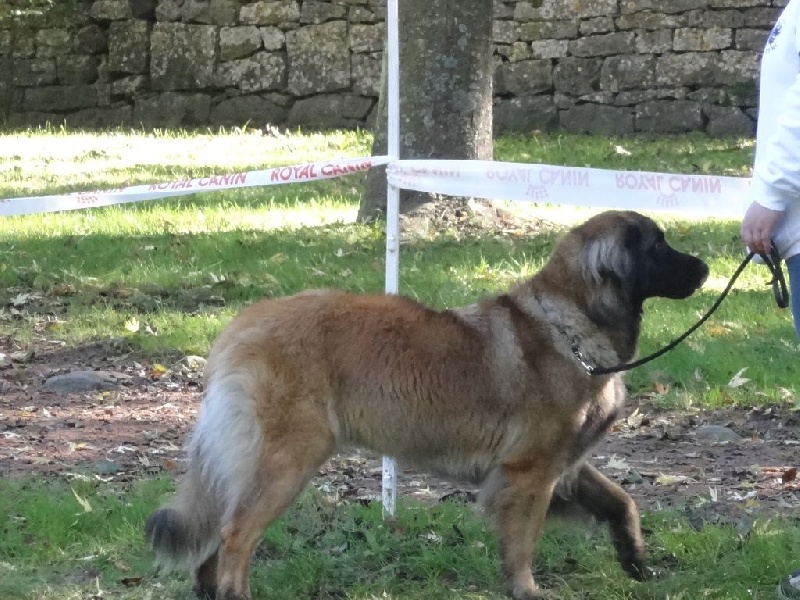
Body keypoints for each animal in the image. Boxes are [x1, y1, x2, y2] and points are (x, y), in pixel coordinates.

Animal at [145, 210, 708, 600]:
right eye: (659, 246)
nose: (705, 268)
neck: (569, 324)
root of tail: (241, 325)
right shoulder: (530, 472)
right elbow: (523, 544)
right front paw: (525, 590)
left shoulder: (563, 464)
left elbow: (622, 502)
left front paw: (636, 562)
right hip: (290, 458)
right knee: (235, 535)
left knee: (216, 540)